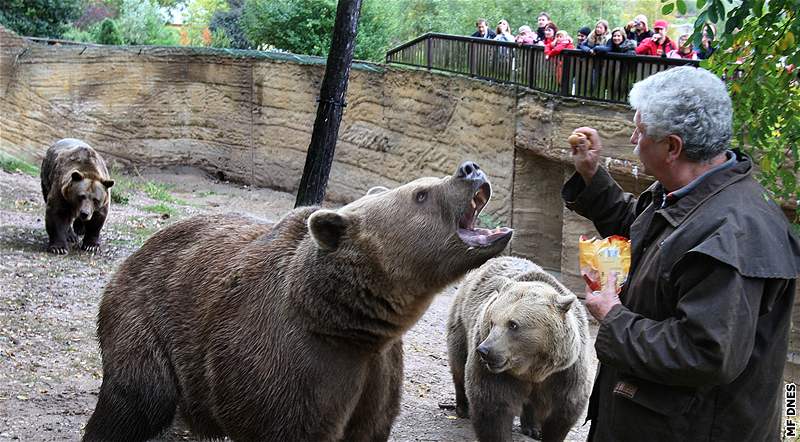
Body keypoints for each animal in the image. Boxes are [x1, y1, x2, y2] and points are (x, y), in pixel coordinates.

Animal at [83, 162, 512, 442]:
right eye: (421, 193)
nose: (470, 168)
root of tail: (138, 251)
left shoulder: (377, 374)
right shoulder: (293, 366)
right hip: (147, 324)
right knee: (134, 404)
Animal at [446, 256, 592, 442]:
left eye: (513, 324)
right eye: (492, 321)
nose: (484, 350)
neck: (532, 370)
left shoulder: (565, 373)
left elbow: (562, 412)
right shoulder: (496, 374)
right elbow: (493, 407)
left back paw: (532, 427)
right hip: (461, 324)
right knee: (458, 363)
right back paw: (463, 408)